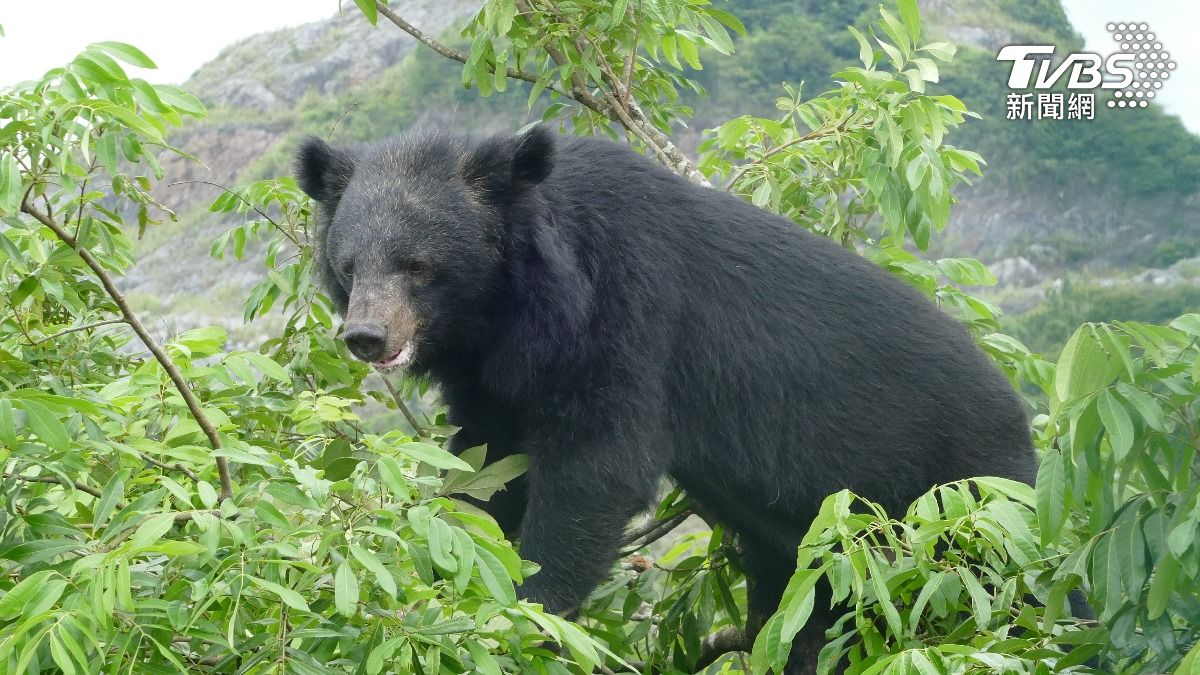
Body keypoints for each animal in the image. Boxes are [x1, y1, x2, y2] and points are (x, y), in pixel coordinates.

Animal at [295, 126, 1039, 673]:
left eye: (419, 267)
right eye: (350, 266)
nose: (366, 336)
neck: (511, 307)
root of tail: (1022, 422)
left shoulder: (627, 317)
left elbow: (595, 472)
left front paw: (531, 613)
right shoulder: (492, 379)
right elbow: (488, 467)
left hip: (965, 497)